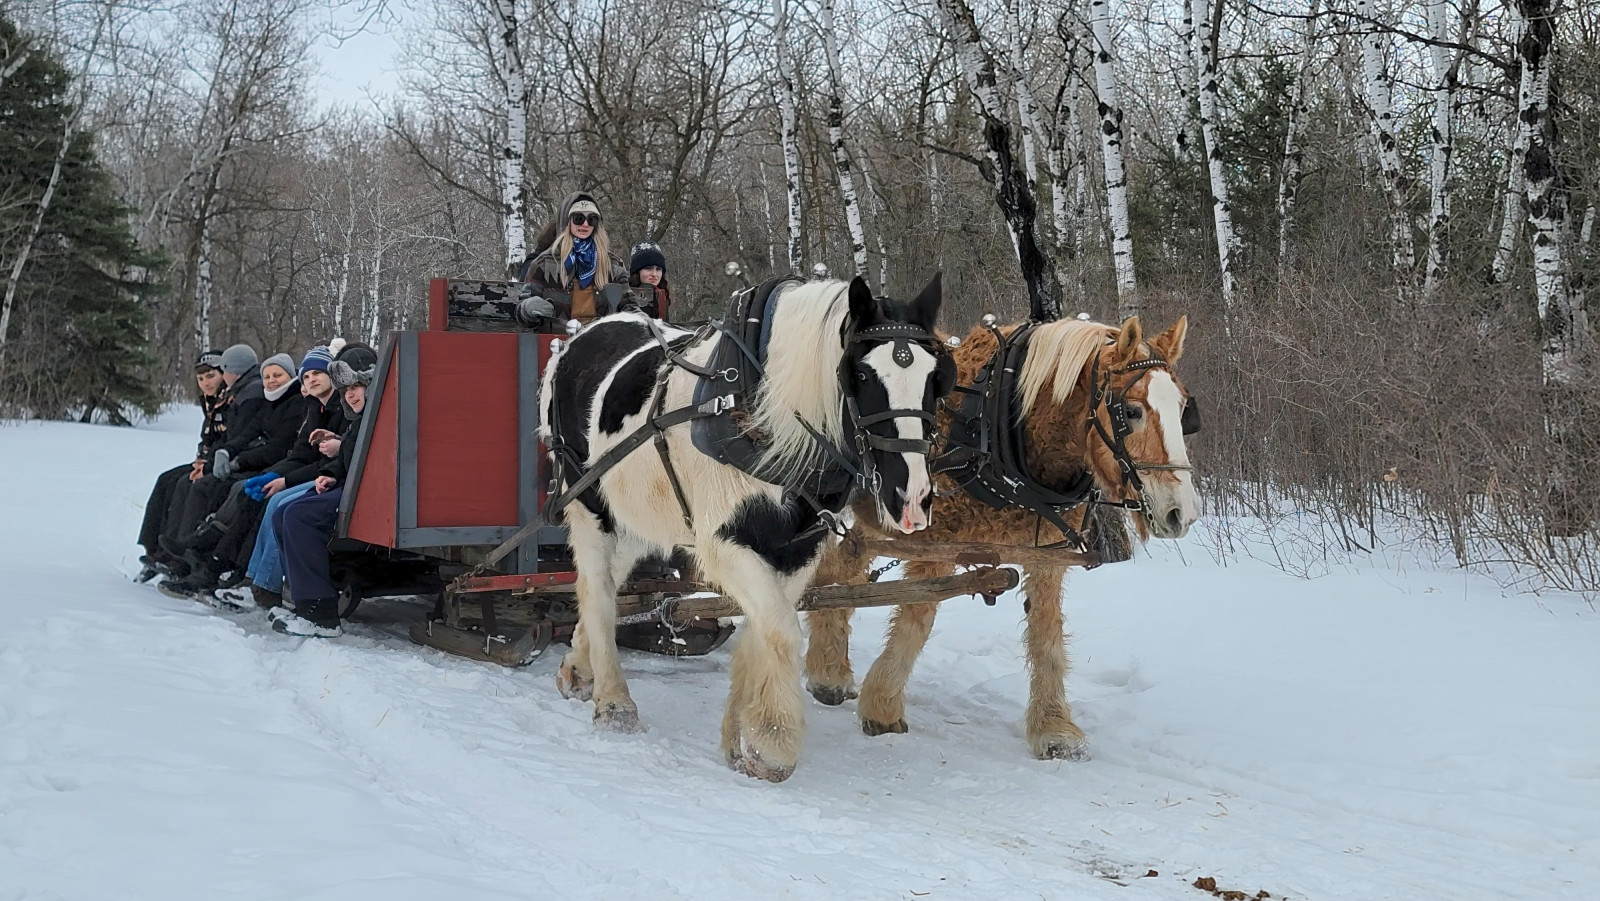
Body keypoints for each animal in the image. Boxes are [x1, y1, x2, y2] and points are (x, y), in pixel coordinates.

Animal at [538, 275, 953, 782]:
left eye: (935, 378)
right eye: (860, 376)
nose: (911, 498)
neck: (758, 415)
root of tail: (578, 337)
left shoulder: (796, 550)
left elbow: (764, 629)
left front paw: (742, 736)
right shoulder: (725, 544)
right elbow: (781, 629)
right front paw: (773, 741)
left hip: (636, 516)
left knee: (610, 582)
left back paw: (579, 668)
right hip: (588, 503)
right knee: (596, 588)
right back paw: (614, 704)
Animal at [803, 314, 1200, 760]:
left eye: (1183, 409)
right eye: (1131, 412)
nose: (1181, 512)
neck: (993, 432)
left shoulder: (1048, 553)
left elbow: (1046, 632)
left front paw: (1054, 728)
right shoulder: (933, 544)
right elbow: (917, 617)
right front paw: (883, 705)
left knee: (842, 565)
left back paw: (828, 666)